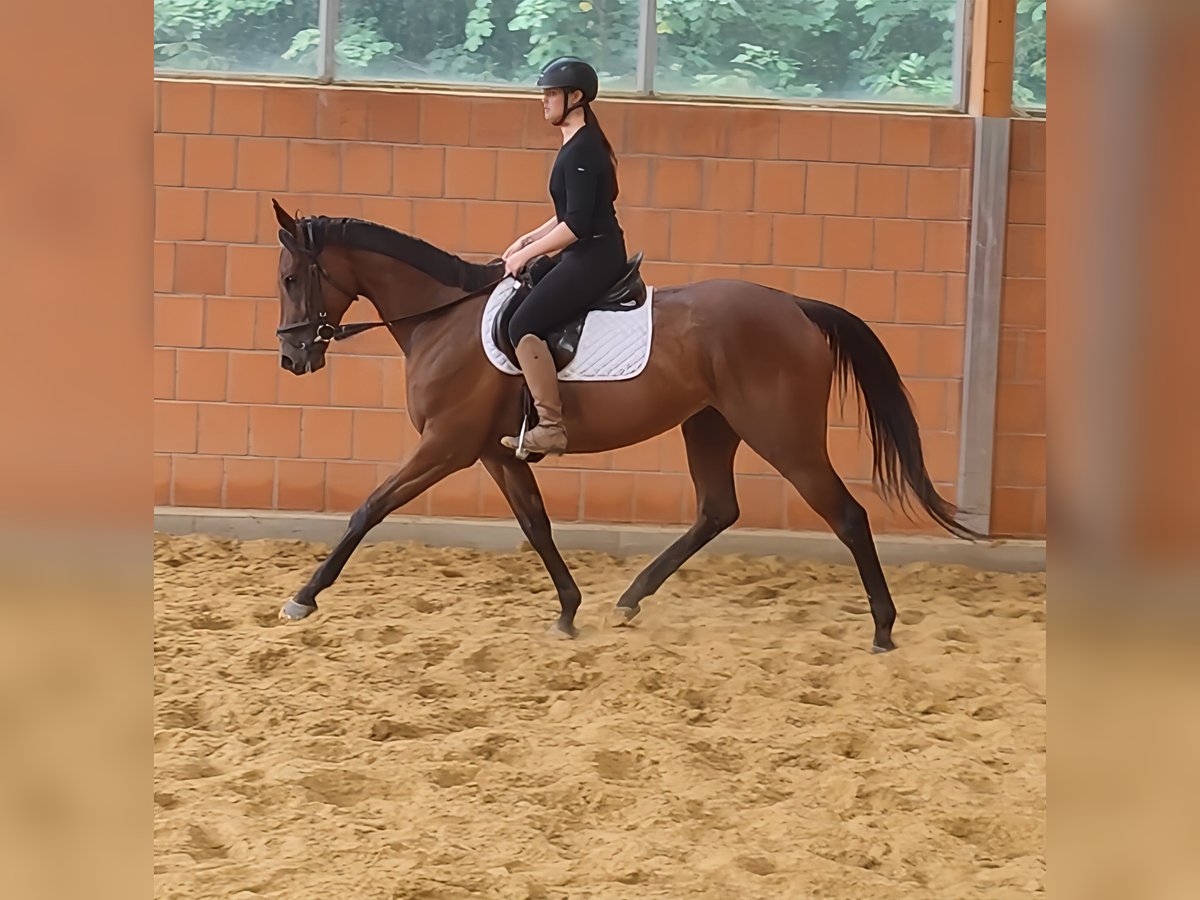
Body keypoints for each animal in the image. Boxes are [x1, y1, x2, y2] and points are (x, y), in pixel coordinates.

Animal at [268, 199, 981, 653]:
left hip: (784, 436)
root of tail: (796, 307)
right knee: (717, 510)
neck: (442, 319)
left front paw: (304, 596)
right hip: (710, 425)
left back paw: (883, 629)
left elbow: (369, 509)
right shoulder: (493, 452)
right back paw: (631, 598)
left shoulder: (446, 446)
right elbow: (535, 524)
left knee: (847, 516)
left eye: (292, 276)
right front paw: (568, 611)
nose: (293, 358)